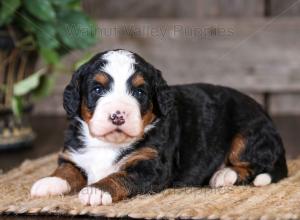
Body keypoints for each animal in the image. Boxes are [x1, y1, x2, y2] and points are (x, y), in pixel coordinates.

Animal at [30, 49, 288, 205]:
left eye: (139, 92)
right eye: (97, 89)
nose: (117, 116)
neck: (108, 145)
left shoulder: (151, 166)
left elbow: (119, 175)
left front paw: (97, 190)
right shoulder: (72, 154)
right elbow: (67, 170)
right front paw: (49, 182)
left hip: (247, 135)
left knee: (257, 166)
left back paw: (224, 174)